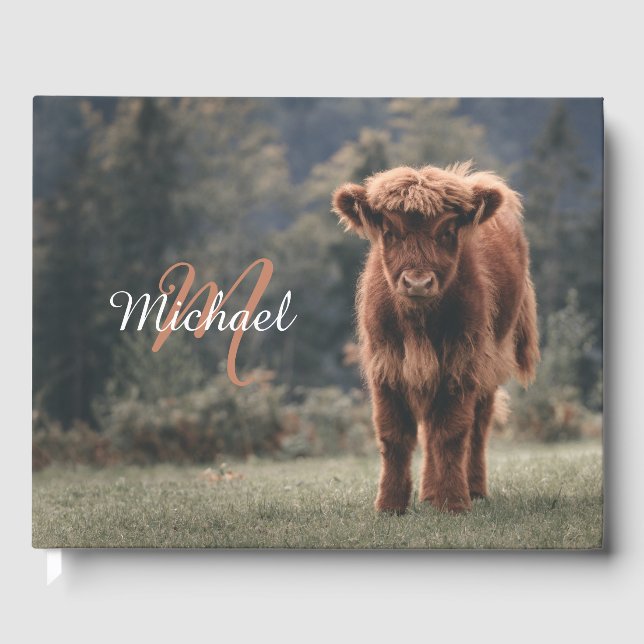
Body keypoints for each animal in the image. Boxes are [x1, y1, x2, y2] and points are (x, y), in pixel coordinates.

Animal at [332, 162, 540, 514]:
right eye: (390, 232)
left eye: (447, 232)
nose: (417, 282)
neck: (419, 324)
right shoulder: (386, 365)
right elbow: (394, 435)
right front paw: (389, 505)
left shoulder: (462, 361)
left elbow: (452, 433)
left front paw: (454, 502)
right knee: (430, 429)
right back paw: (429, 493)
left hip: (491, 361)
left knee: (478, 426)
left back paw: (473, 489)